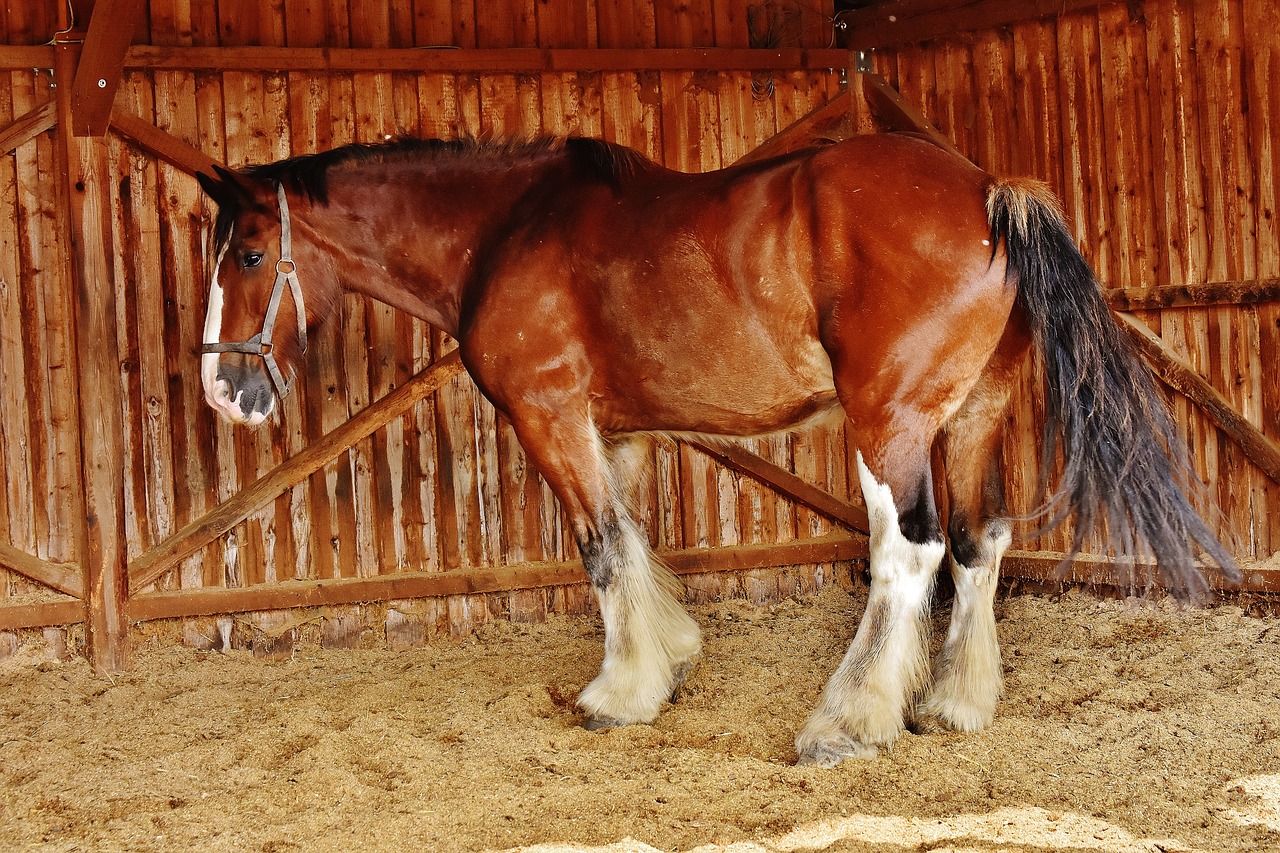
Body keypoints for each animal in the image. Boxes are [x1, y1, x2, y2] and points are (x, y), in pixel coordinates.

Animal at [197, 133, 1239, 763]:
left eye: (248, 253)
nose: (219, 390)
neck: (506, 231)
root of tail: (989, 192)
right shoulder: (614, 429)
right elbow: (632, 538)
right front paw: (669, 656)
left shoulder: (549, 415)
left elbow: (601, 549)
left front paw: (619, 691)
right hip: (972, 416)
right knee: (982, 542)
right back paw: (955, 702)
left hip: (891, 422)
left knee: (911, 551)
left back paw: (849, 718)